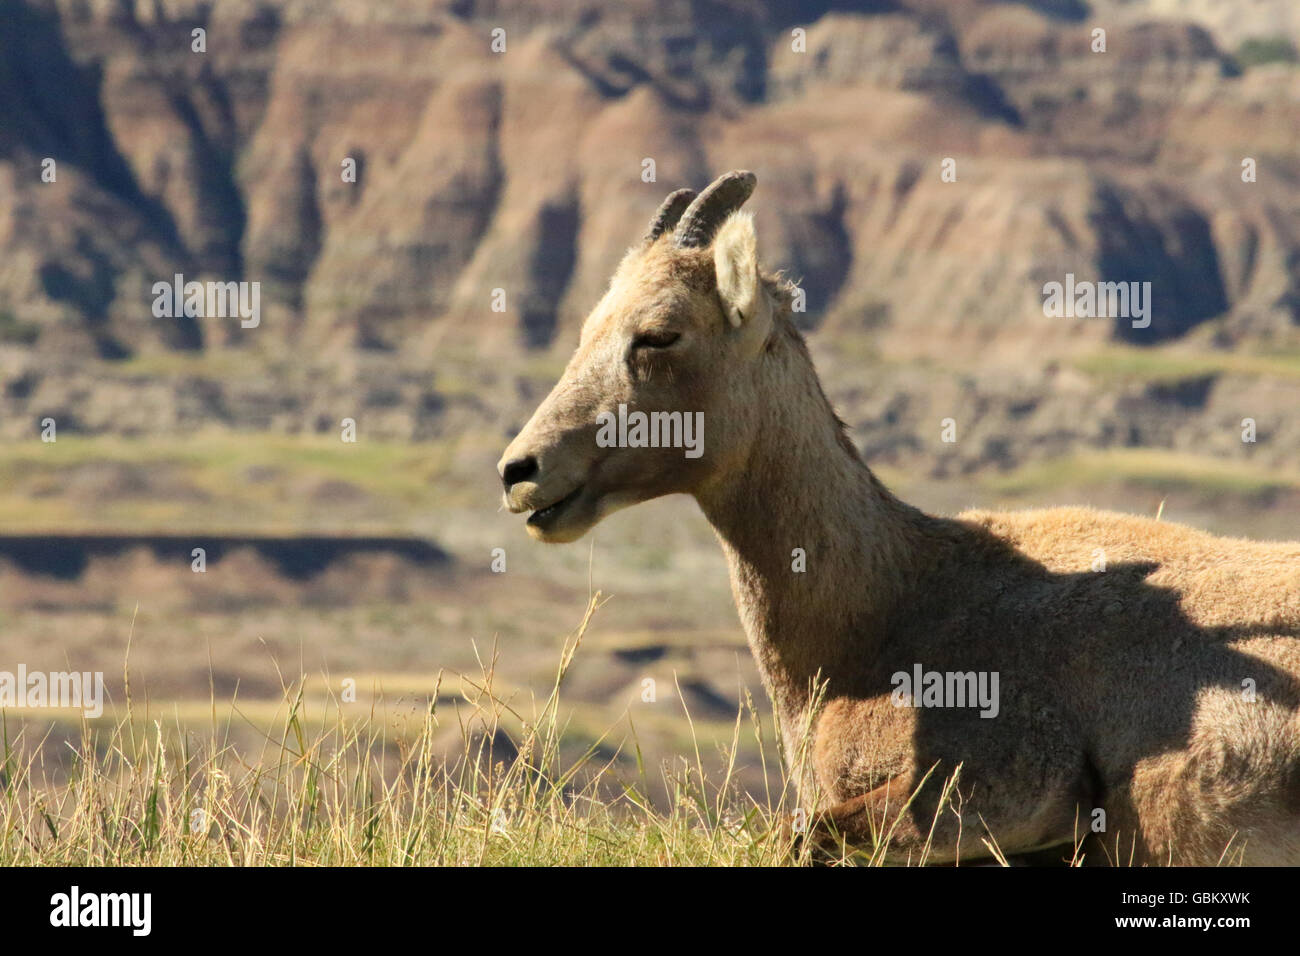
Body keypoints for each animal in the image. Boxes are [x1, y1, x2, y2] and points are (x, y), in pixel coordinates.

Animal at [496, 171, 1300, 868]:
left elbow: (800, 835)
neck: (887, 609)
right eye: (587, 328)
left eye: (660, 334)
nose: (520, 472)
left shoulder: (1016, 778)